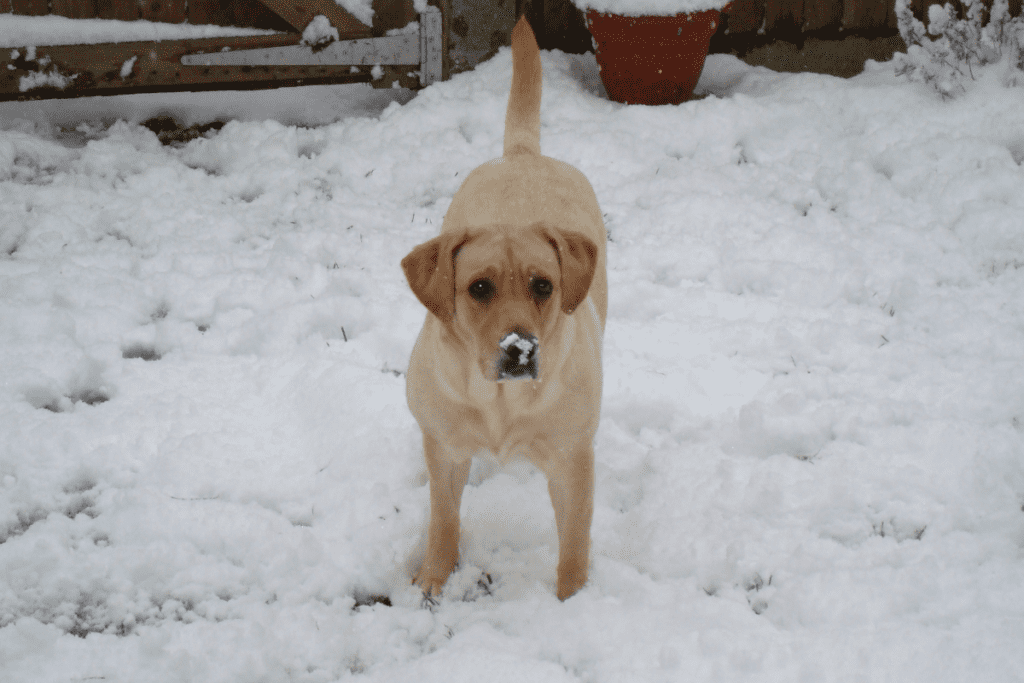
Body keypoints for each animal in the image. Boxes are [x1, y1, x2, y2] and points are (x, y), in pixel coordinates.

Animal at [401, 15, 606, 602]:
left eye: (543, 285)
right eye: (479, 288)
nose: (520, 349)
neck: (499, 403)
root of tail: (523, 154)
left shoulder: (571, 462)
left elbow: (574, 541)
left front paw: (572, 603)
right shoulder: (445, 450)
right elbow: (443, 519)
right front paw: (433, 579)